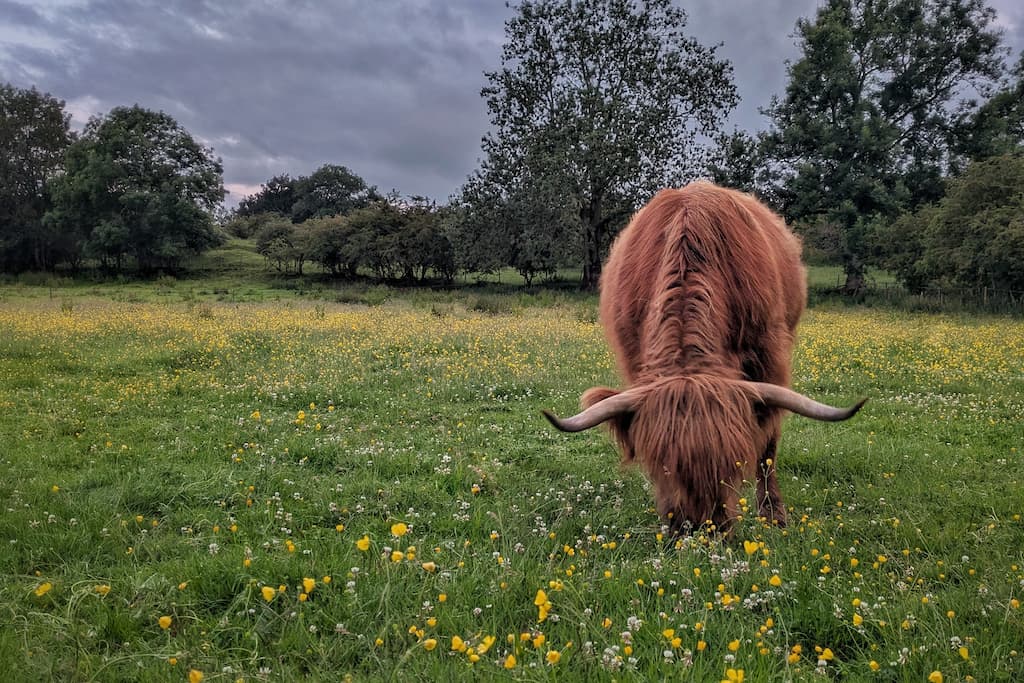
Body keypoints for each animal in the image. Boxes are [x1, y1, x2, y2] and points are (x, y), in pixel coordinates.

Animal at [544, 182, 865, 534]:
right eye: (662, 466)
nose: (700, 528)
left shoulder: (769, 362)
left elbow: (767, 447)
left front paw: (773, 515)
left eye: (731, 464)